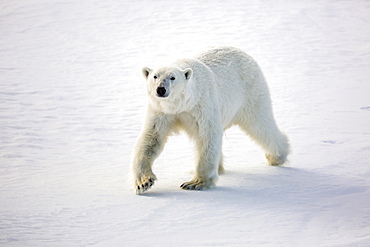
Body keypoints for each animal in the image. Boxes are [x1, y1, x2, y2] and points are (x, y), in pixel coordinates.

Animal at [132, 45, 290, 194]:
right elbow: (152, 138)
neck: (182, 104)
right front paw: (144, 183)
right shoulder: (161, 111)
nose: (161, 89)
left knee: (261, 125)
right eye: (155, 76)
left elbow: (207, 136)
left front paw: (195, 183)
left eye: (172, 77)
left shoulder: (202, 105)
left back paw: (276, 157)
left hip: (251, 93)